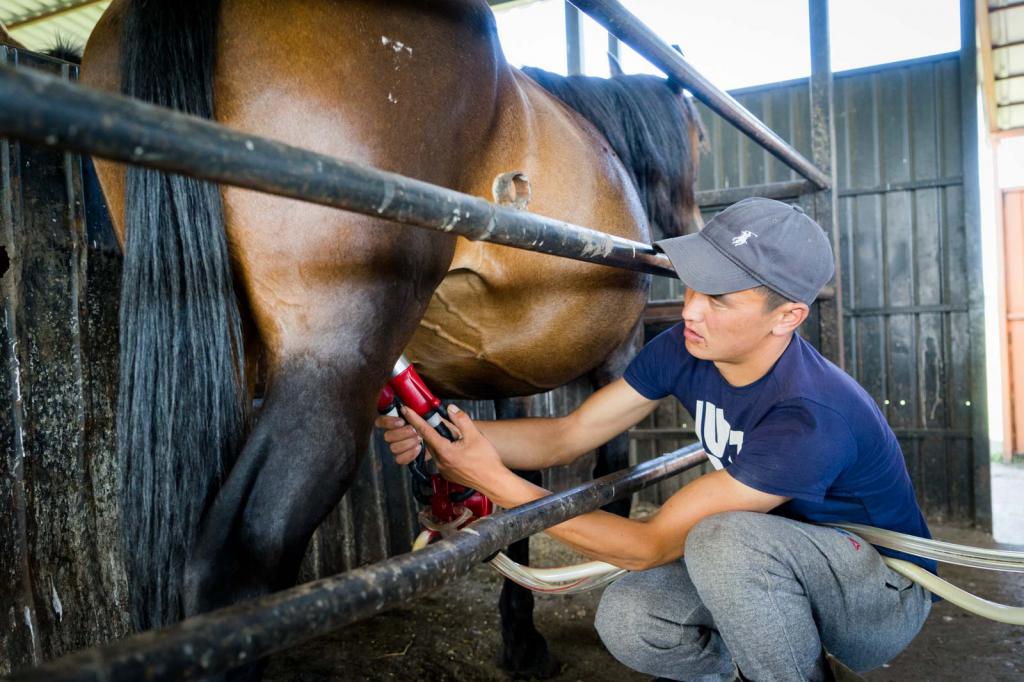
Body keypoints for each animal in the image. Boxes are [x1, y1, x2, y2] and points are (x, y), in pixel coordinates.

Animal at [79, 0, 704, 675]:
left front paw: (518, 632)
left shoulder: (504, 373)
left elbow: (519, 481)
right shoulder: (618, 358)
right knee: (239, 560)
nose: (694, 229)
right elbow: (610, 477)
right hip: (333, 360)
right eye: (700, 135)